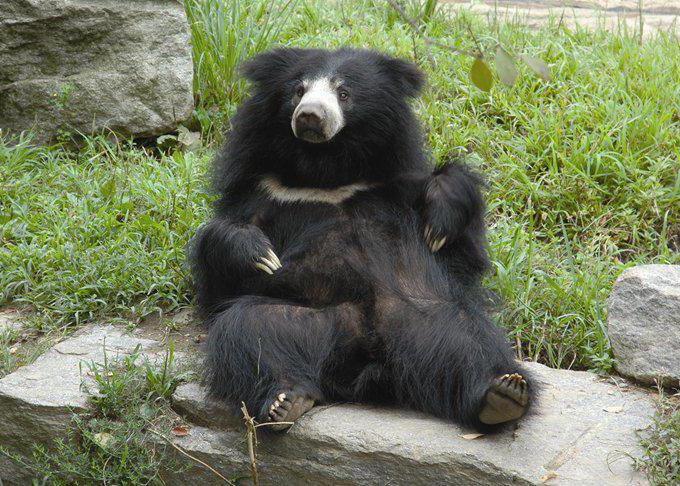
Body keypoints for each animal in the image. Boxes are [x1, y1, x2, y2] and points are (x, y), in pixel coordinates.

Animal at [190, 47, 532, 430]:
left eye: (343, 93)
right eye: (298, 90)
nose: (309, 116)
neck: (325, 170)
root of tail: (367, 360)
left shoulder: (395, 186)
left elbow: (461, 254)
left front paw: (439, 222)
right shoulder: (261, 192)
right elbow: (221, 276)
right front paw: (259, 254)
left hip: (425, 318)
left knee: (466, 341)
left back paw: (502, 393)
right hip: (306, 321)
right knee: (249, 331)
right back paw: (285, 401)